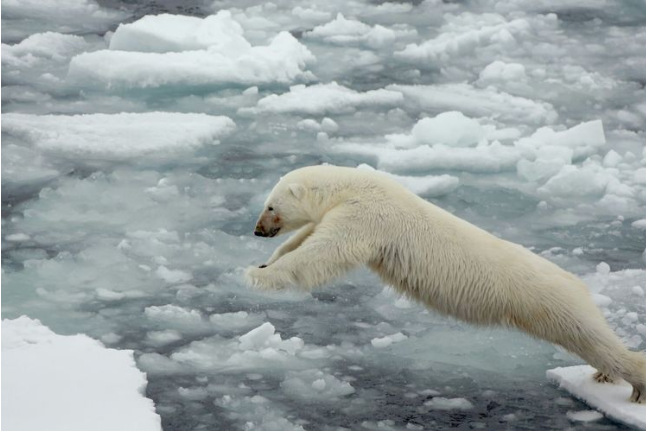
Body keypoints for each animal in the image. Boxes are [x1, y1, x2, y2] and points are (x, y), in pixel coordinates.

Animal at [247, 165, 646, 404]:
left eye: (271, 206)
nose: (257, 231)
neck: (353, 185)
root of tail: (579, 284)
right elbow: (307, 239)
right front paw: (266, 261)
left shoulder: (366, 216)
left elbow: (325, 251)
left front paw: (258, 275)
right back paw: (603, 375)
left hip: (551, 303)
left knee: (592, 338)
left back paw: (634, 385)